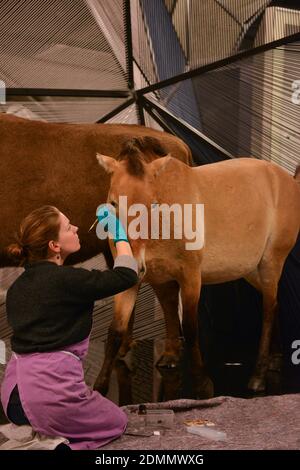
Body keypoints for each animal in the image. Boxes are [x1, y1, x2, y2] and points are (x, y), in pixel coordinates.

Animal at [95, 149, 300, 398]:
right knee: (275, 302)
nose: (135, 262)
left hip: (271, 262)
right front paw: (99, 386)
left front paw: (202, 383)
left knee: (268, 311)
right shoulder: (137, 280)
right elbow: (116, 330)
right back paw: (276, 359)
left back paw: (258, 376)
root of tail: (289, 181)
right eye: (113, 203)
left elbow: (191, 328)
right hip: (252, 270)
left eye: (152, 204)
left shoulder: (191, 277)